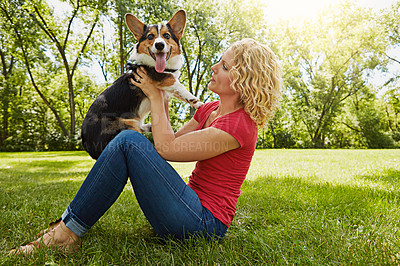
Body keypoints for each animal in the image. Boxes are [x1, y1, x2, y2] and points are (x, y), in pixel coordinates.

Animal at [81, 9, 202, 160]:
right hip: (127, 125)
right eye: (150, 36)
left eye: (166, 36)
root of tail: (88, 147)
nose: (159, 45)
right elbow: (179, 86)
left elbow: (179, 92)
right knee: (137, 129)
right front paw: (197, 101)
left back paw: (149, 126)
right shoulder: (162, 78)